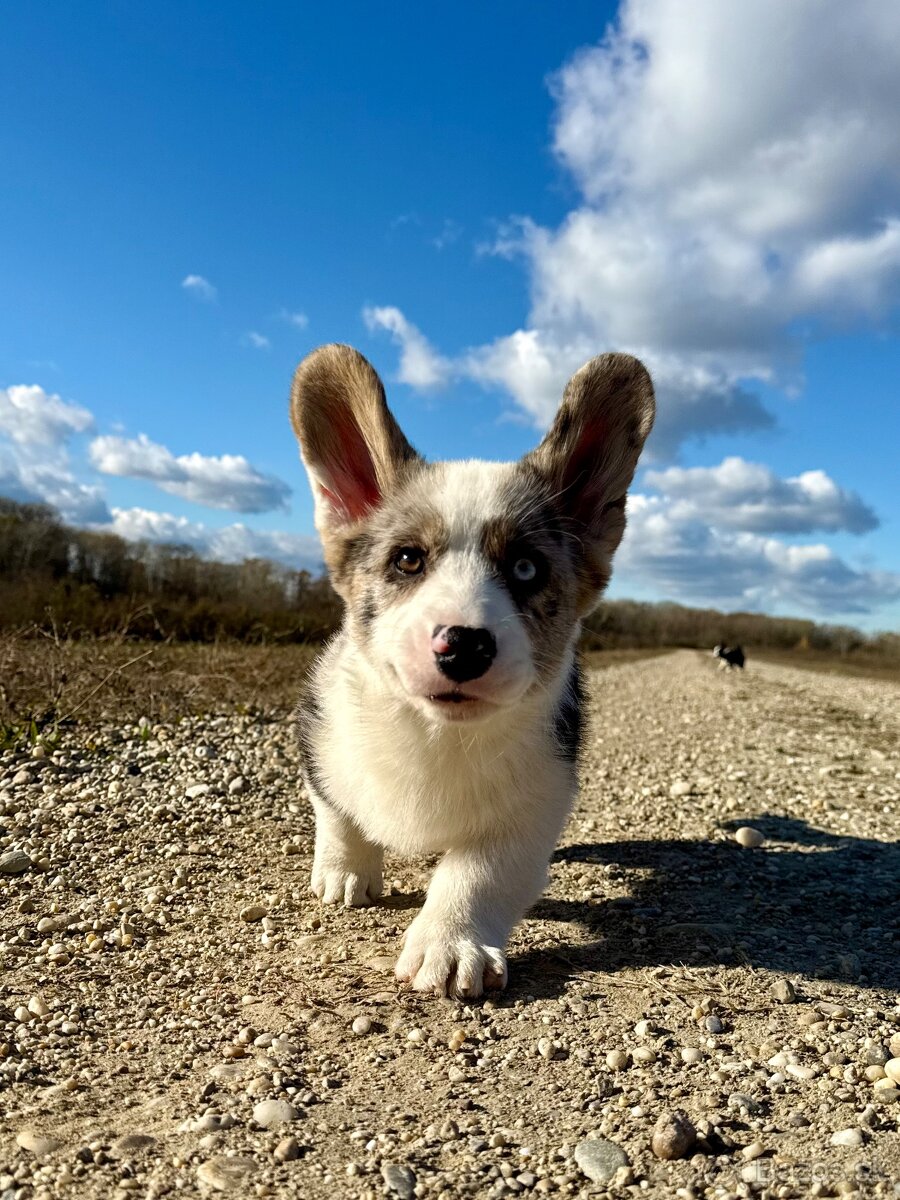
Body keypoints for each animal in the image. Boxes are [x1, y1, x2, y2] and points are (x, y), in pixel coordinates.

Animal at [292, 343, 652, 998]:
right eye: (408, 559)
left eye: (527, 568)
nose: (463, 645)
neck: (435, 736)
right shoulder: (316, 734)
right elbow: (337, 810)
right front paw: (345, 871)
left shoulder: (537, 801)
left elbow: (479, 871)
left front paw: (449, 942)